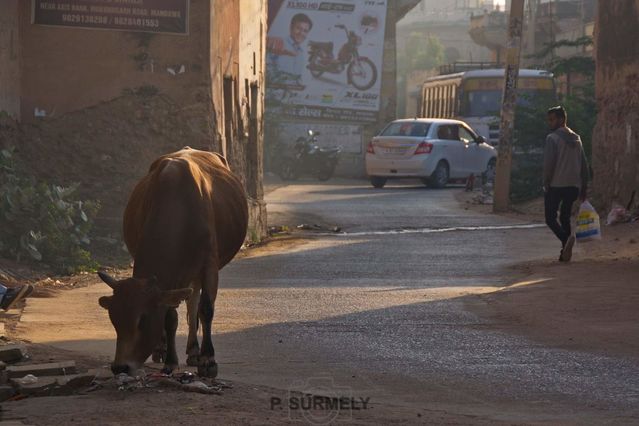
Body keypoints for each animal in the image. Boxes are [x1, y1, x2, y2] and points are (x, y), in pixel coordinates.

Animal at [97, 148, 248, 378]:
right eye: (114, 319)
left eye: (142, 320)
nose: (120, 367)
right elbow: (170, 317)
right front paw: (170, 361)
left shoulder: (209, 265)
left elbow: (205, 309)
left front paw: (208, 360)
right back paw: (165, 348)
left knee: (194, 303)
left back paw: (194, 352)